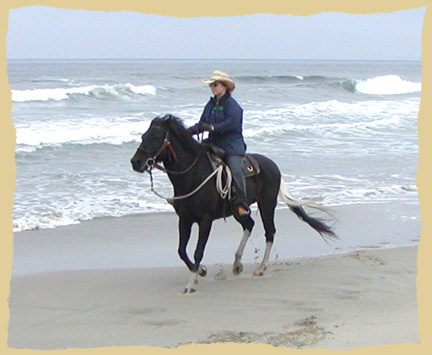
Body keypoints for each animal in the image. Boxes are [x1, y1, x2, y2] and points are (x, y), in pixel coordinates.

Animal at [130, 114, 336, 294]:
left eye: (156, 137)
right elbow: (181, 251)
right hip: (239, 210)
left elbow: (198, 251)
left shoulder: (205, 221)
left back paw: (261, 268)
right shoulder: (185, 219)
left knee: (269, 232)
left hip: (267, 205)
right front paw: (201, 271)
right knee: (249, 225)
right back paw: (237, 264)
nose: (135, 162)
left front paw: (191, 283)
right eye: (143, 136)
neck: (193, 176)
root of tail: (273, 165)